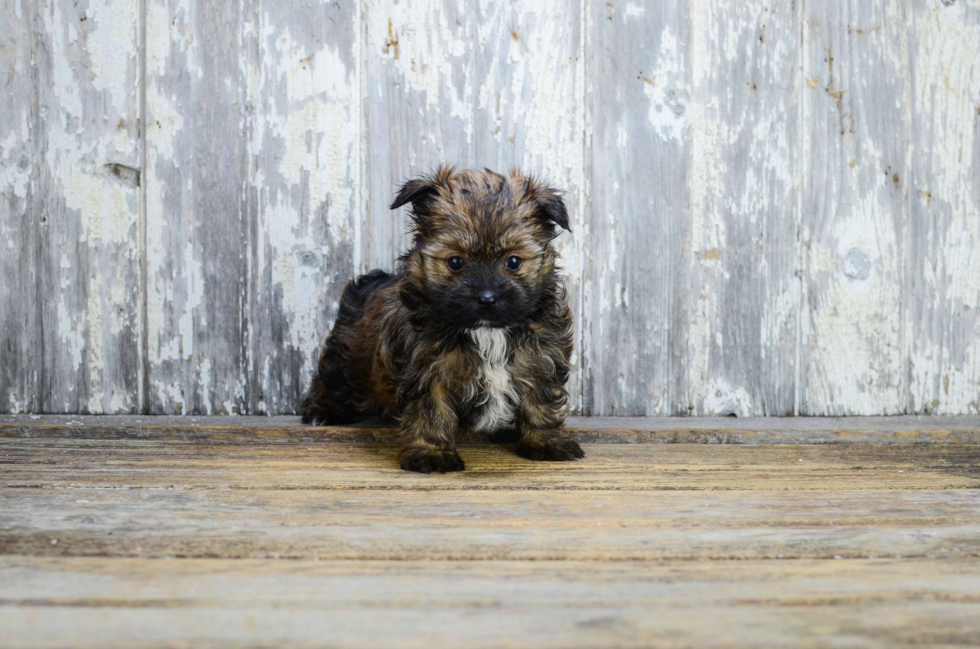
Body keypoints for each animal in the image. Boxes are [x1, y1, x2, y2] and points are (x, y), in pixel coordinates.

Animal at [298, 167, 580, 470]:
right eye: (455, 262)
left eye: (513, 262)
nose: (487, 298)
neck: (487, 332)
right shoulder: (426, 371)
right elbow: (432, 412)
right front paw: (431, 452)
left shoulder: (542, 359)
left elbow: (540, 402)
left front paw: (547, 442)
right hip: (346, 361)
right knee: (332, 382)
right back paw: (320, 412)